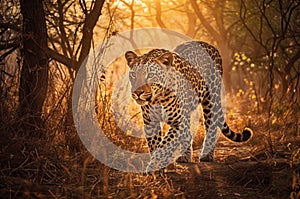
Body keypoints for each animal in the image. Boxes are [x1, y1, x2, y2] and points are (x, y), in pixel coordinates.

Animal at [125, 41, 253, 172]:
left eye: (150, 75)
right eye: (133, 75)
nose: (137, 92)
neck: (157, 99)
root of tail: (210, 45)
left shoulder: (178, 122)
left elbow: (164, 145)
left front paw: (154, 167)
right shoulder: (151, 122)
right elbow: (155, 145)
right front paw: (157, 168)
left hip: (210, 99)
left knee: (210, 126)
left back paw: (206, 155)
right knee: (188, 133)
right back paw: (184, 156)